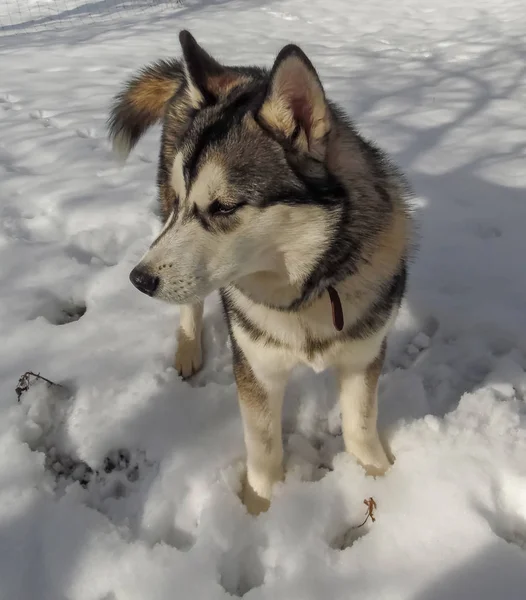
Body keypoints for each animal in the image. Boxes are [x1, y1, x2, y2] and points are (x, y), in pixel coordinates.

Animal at [107, 30, 412, 512]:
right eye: (183, 200)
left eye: (224, 207)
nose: (139, 280)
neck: (309, 290)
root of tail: (231, 70)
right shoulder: (257, 368)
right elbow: (264, 450)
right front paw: (260, 510)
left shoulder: (363, 358)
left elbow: (360, 430)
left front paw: (382, 482)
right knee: (191, 305)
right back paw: (189, 347)